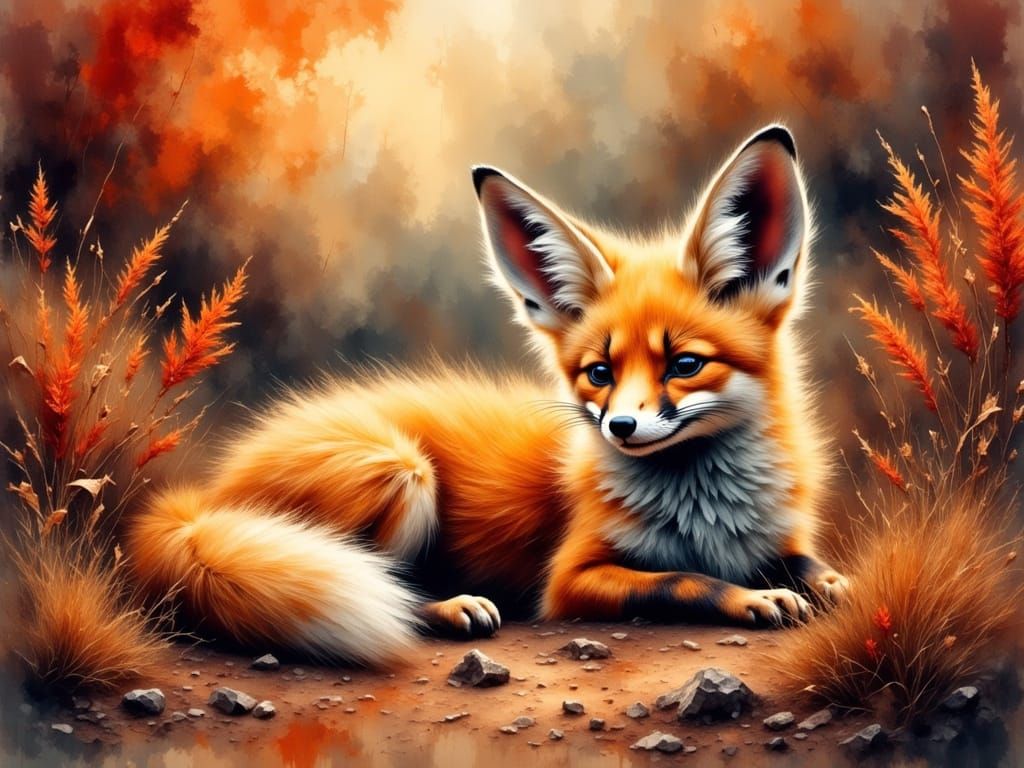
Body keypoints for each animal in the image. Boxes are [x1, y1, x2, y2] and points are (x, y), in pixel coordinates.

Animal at [127, 124, 849, 667]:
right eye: (599, 373)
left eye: (685, 364)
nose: (618, 427)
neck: (706, 515)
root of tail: (206, 499)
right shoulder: (572, 580)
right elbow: (683, 581)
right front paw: (752, 599)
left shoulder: (775, 539)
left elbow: (807, 563)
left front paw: (829, 584)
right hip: (402, 469)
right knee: (387, 587)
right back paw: (449, 607)